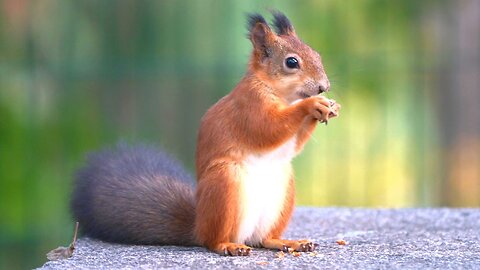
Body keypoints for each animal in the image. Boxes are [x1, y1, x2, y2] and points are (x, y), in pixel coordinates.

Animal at [72, 11, 342, 256]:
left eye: (317, 55)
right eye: (291, 62)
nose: (324, 86)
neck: (282, 94)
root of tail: (198, 226)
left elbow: (294, 144)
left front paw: (329, 107)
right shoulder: (249, 107)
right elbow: (267, 129)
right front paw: (312, 105)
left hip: (282, 192)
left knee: (264, 239)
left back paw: (288, 242)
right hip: (224, 183)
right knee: (213, 240)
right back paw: (228, 245)